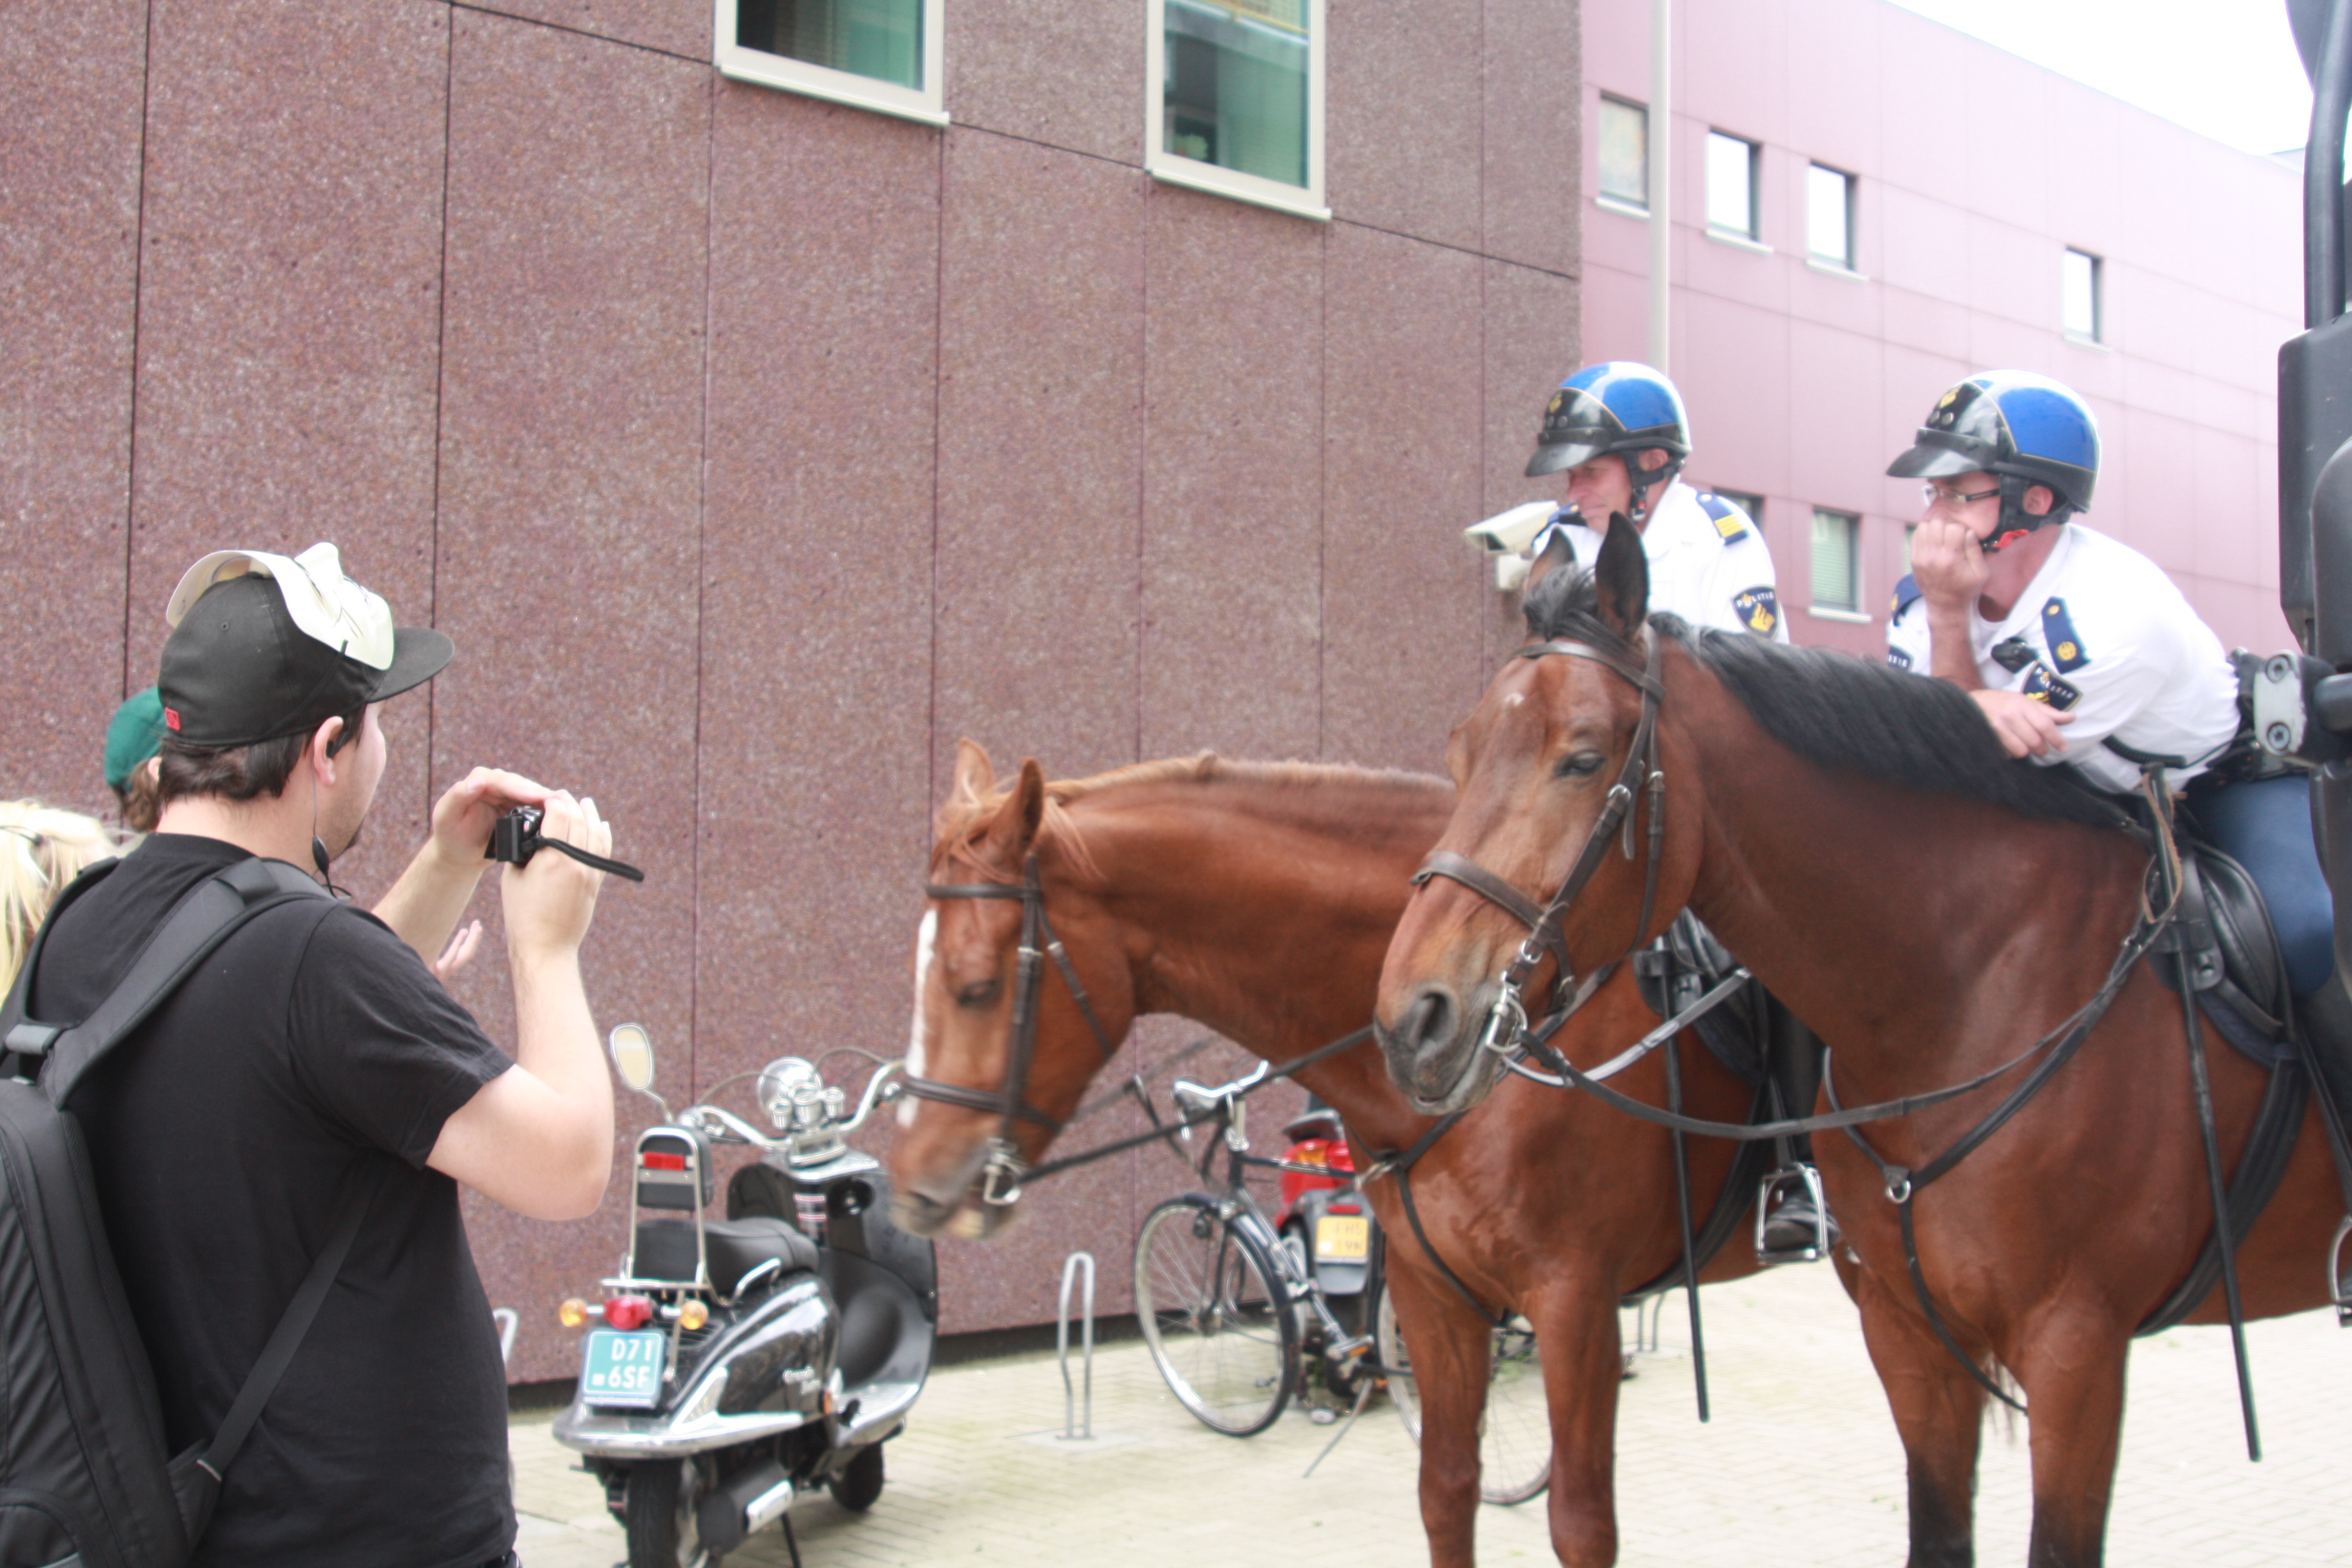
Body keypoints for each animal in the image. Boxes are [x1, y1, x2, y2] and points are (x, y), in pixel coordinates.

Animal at [888, 739, 1771, 1568]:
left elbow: (1580, 1527)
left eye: (976, 986)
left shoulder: (1574, 1305)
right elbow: (1448, 1490)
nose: (912, 1190)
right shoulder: (1431, 1292)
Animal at [1374, 517, 2348, 1568]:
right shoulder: (1906, 1332)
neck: (1973, 988)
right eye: (1461, 754)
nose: (1414, 1017)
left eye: (1583, 758)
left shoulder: (2076, 1347)